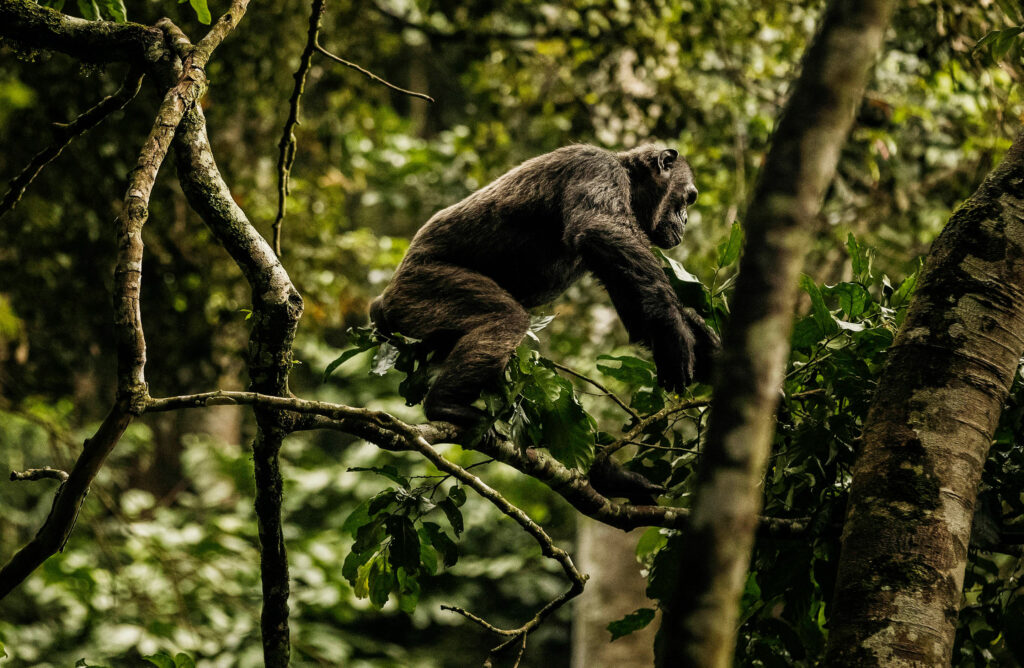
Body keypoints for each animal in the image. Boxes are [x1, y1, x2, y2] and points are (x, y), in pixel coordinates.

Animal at [369, 143, 720, 499]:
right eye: (688, 198)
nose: (685, 218)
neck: (629, 179)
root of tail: (382, 302)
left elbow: (637, 307)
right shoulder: (596, 169)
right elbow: (602, 231)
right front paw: (674, 337)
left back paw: (611, 476)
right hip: (422, 290)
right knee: (504, 320)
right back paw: (447, 405)